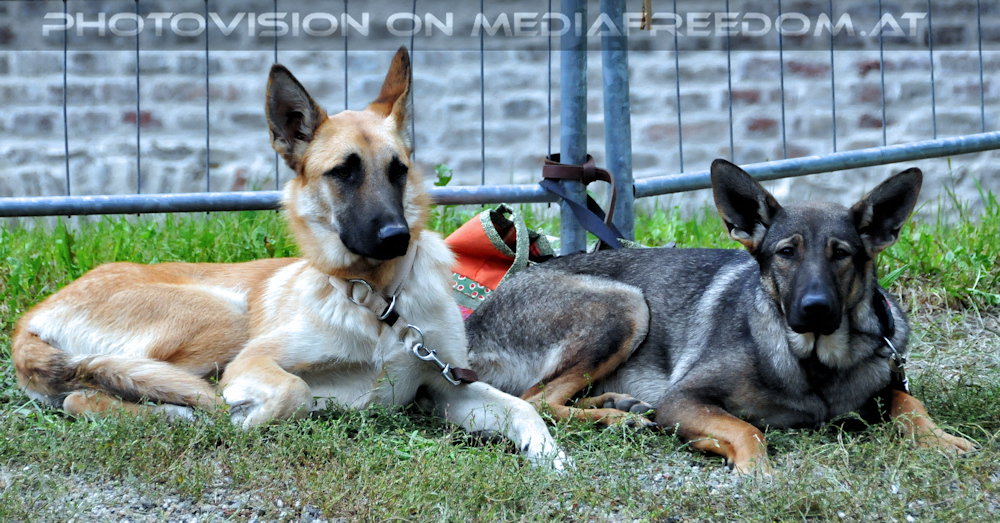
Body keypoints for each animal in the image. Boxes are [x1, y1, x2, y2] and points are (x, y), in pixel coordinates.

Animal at [11, 47, 565, 468]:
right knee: (92, 394)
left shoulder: (448, 388)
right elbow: (292, 392)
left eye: (398, 170)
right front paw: (247, 416)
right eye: (344, 172)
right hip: (224, 318)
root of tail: (30, 320)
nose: (396, 237)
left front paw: (549, 454)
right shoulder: (254, 360)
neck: (378, 302)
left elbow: (521, 407)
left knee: (94, 392)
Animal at [465, 159, 975, 473]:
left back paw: (618, 406)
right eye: (786, 253)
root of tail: (470, 325)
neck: (813, 361)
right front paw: (756, 470)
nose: (815, 309)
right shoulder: (684, 400)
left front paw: (940, 438)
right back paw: (617, 417)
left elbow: (909, 402)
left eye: (841, 254)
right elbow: (747, 429)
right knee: (535, 399)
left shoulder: (885, 379)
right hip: (626, 305)